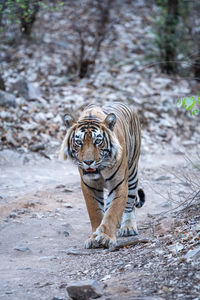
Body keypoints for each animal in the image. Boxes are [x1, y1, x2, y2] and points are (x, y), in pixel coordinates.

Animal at [59, 103, 145, 248]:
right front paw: (94, 237)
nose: (88, 162)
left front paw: (105, 237)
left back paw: (127, 227)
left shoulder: (119, 184)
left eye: (98, 141)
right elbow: (96, 212)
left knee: (129, 203)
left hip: (132, 172)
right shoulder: (89, 186)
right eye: (79, 142)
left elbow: (113, 211)